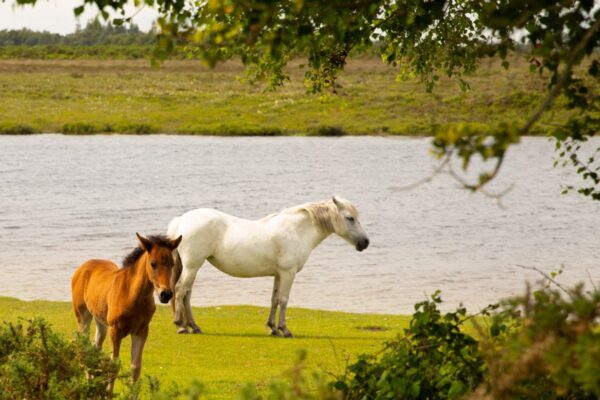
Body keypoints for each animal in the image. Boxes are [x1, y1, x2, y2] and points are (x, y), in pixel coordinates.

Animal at [166, 197, 368, 338]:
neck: (297, 230)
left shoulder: (278, 274)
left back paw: (193, 326)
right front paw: (284, 329)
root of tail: (181, 220)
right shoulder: (288, 273)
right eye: (350, 218)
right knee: (180, 290)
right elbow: (284, 300)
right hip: (192, 266)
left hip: (192, 267)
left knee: (187, 294)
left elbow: (274, 299)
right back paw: (181, 325)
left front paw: (273, 328)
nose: (365, 243)